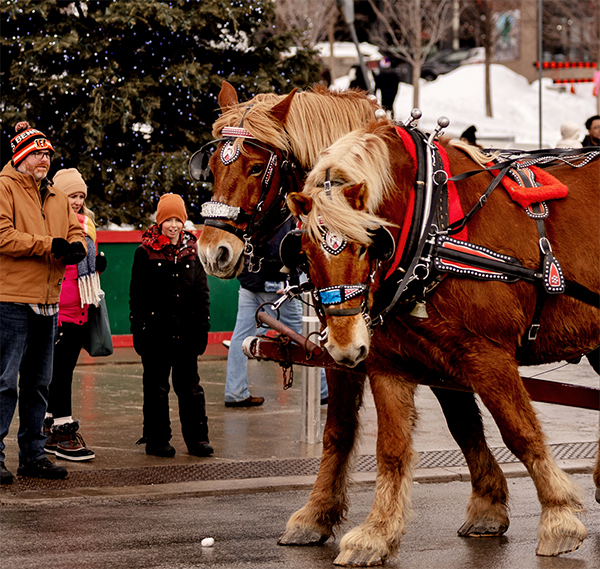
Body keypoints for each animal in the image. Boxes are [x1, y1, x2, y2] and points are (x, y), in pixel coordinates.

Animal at [195, 83, 536, 564]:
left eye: (258, 167)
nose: (213, 251)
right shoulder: (368, 351)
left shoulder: (444, 348)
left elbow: (459, 420)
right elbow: (344, 429)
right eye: (209, 166)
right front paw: (317, 515)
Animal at [288, 118, 596, 564]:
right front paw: (376, 532)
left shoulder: (487, 353)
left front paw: (559, 517)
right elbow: (392, 449)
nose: (345, 348)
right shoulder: (391, 363)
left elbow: (520, 432)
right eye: (305, 253)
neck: (430, 229)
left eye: (368, 244)